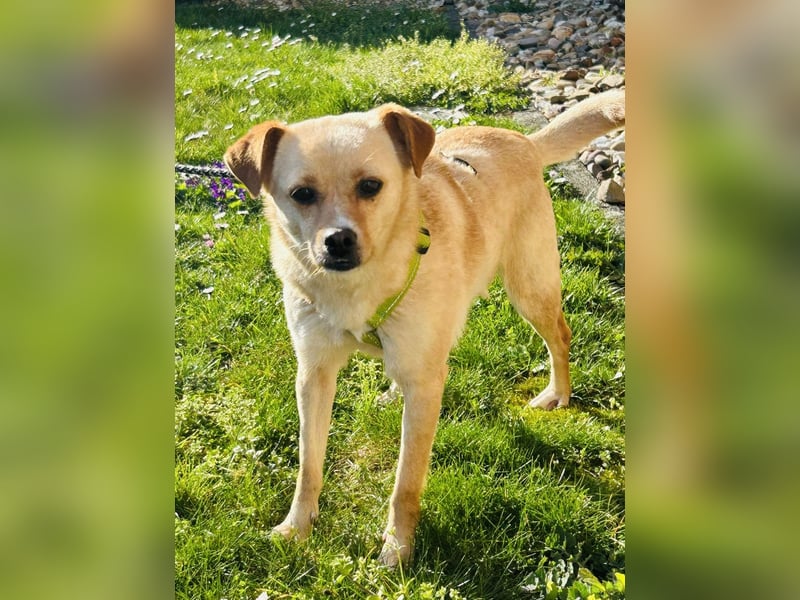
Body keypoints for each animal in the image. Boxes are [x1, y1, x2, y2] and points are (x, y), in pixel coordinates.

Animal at [224, 90, 625, 566]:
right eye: (301, 194)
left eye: (371, 186)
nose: (338, 240)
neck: (358, 288)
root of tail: (522, 141)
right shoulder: (314, 376)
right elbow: (309, 464)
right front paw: (298, 526)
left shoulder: (424, 387)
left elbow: (406, 482)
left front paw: (397, 547)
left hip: (530, 290)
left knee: (560, 337)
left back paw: (557, 393)